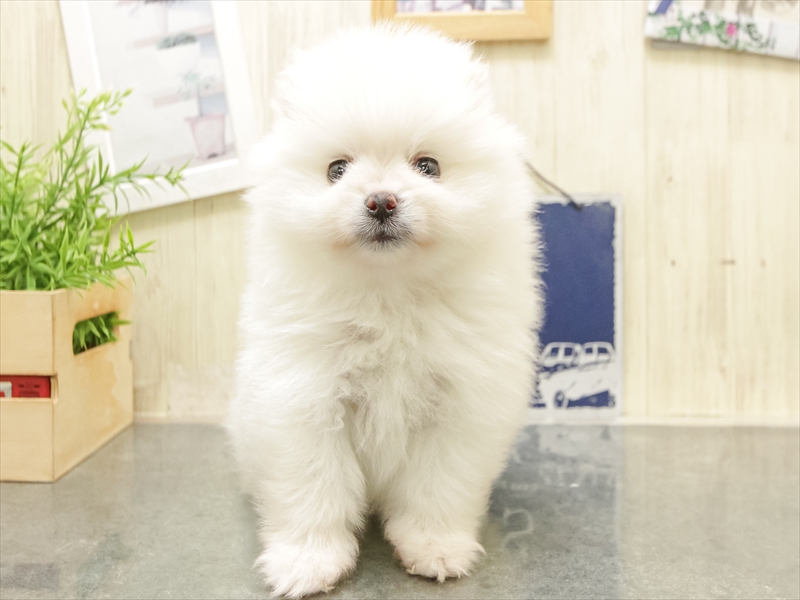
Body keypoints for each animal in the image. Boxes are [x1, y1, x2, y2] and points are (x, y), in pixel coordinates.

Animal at [227, 24, 542, 598]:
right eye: (336, 169)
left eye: (428, 166)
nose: (380, 200)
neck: (388, 294)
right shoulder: (303, 397)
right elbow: (312, 488)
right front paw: (307, 561)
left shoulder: (457, 404)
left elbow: (437, 488)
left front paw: (435, 547)